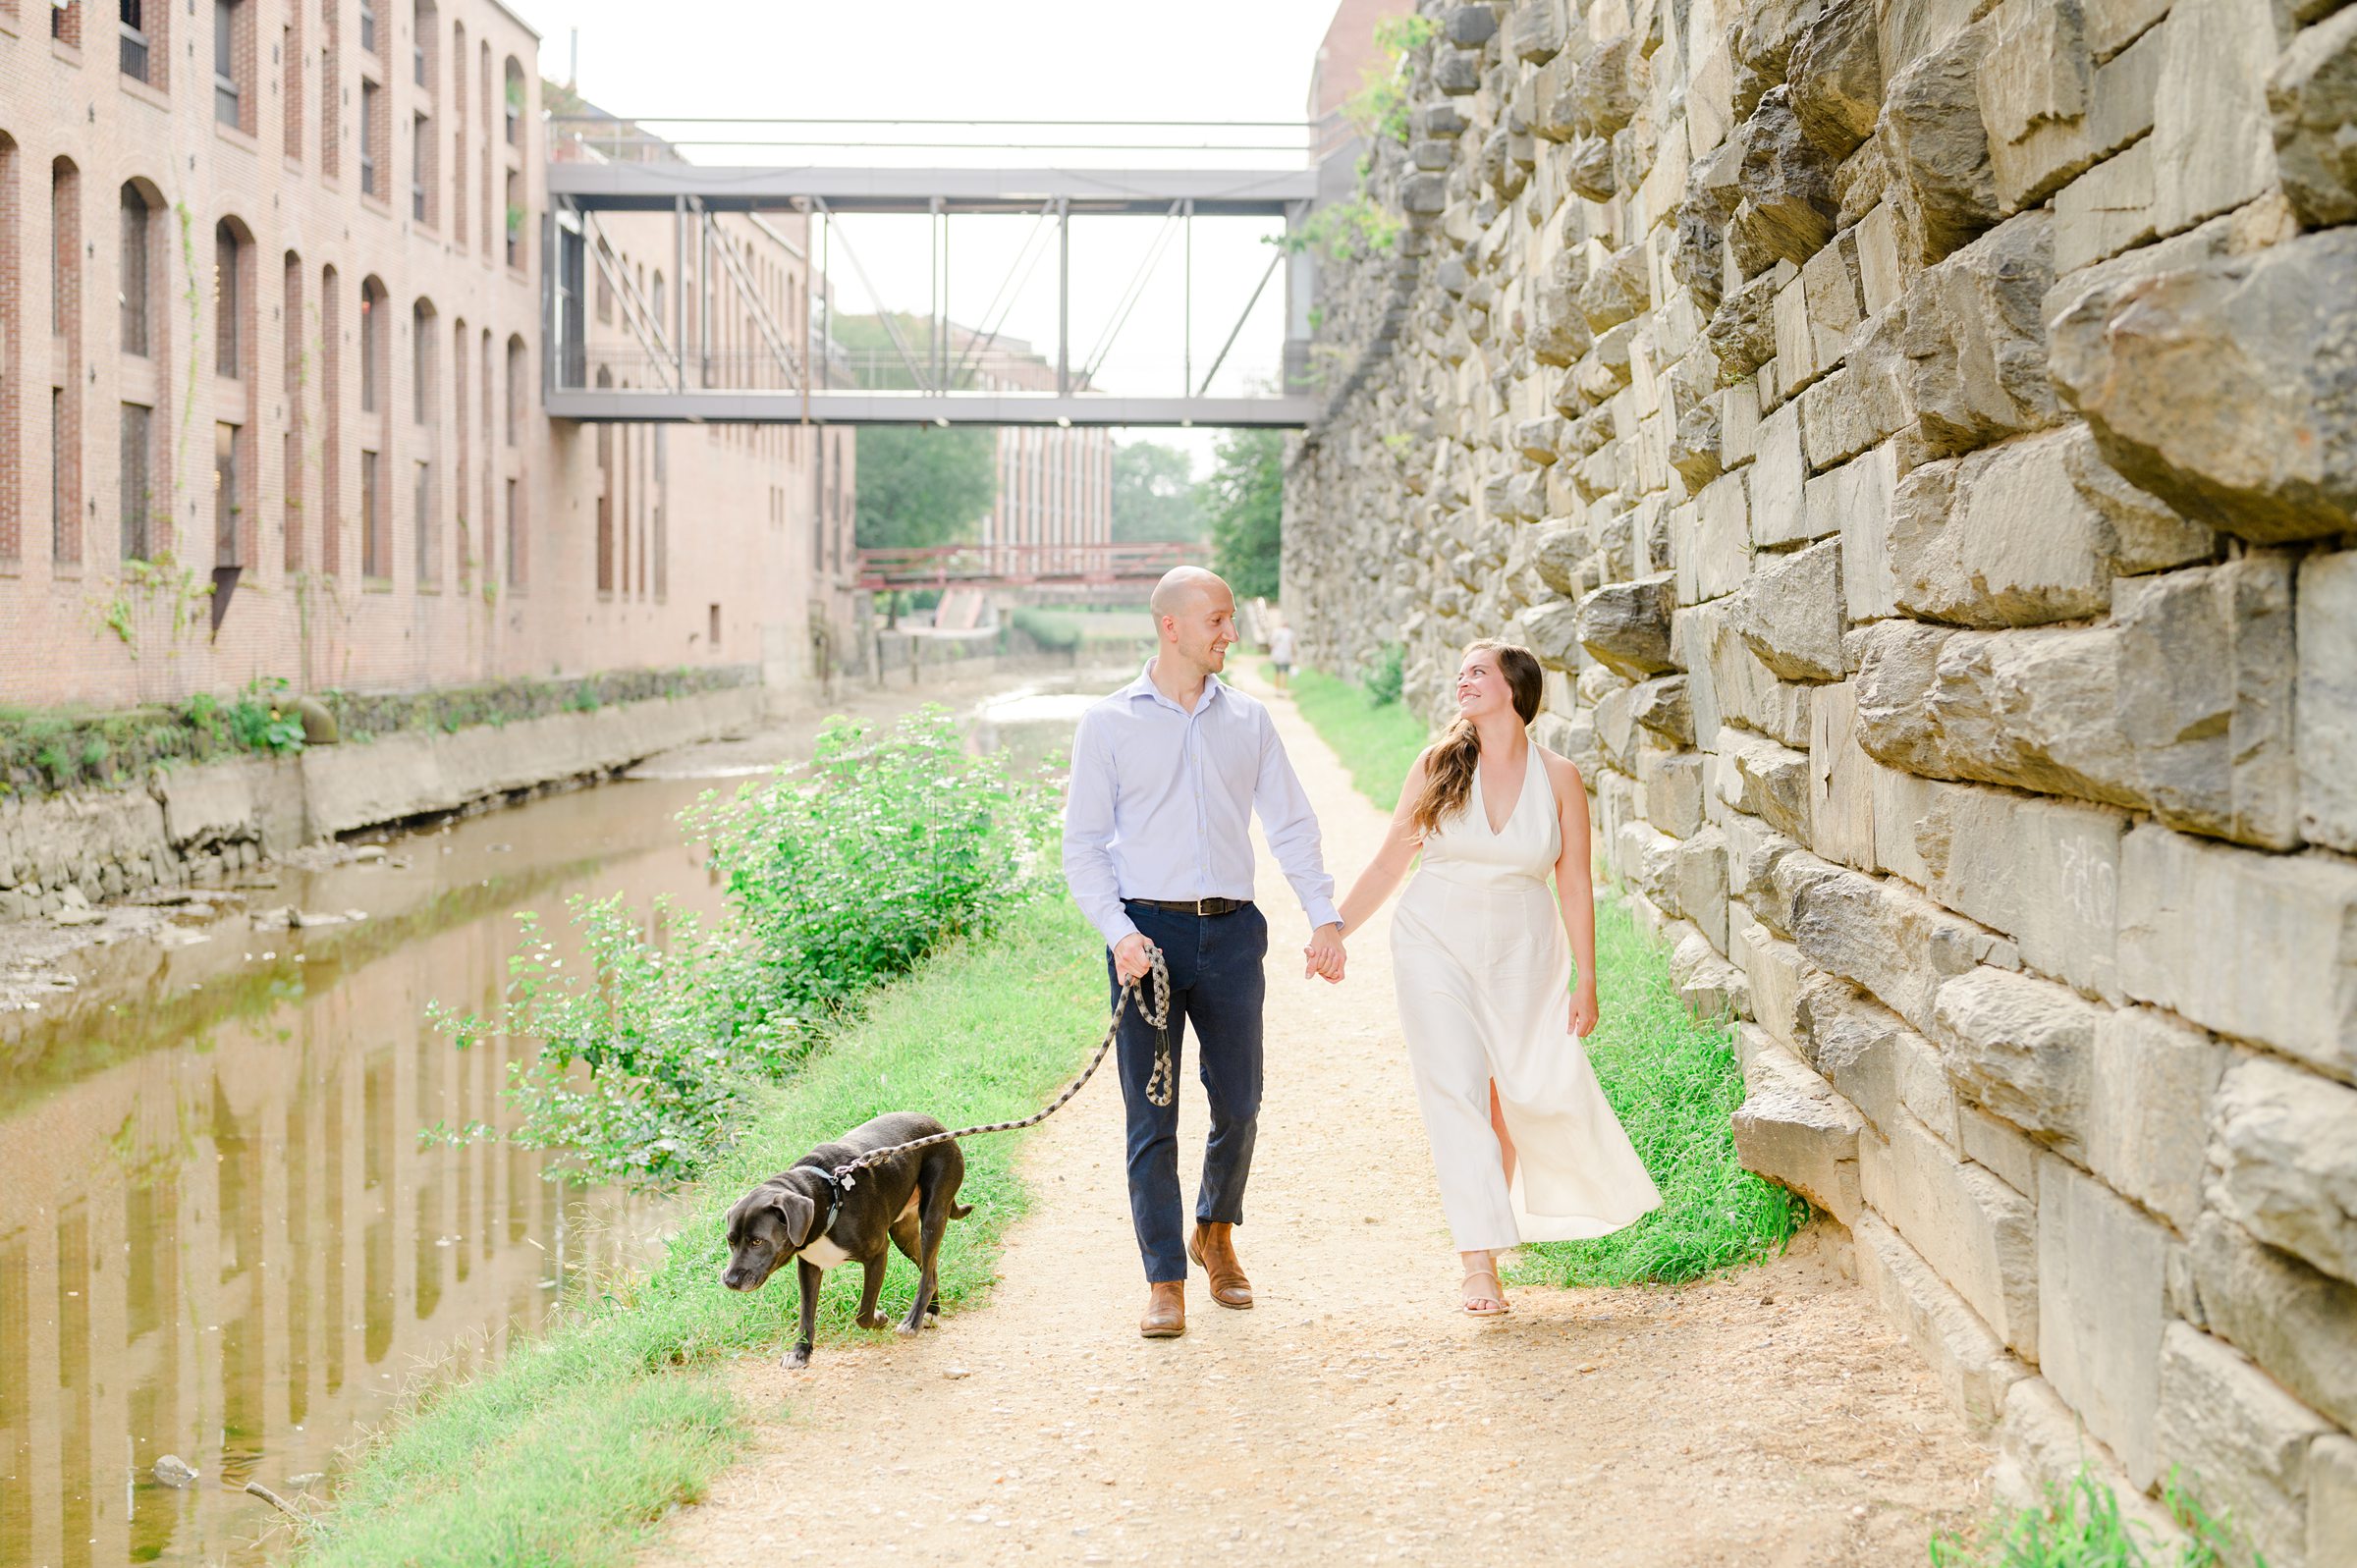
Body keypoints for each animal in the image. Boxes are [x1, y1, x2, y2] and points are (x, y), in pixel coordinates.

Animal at [716, 1108, 975, 1367]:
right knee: (929, 1268)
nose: (729, 1280)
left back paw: (912, 1322)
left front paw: (879, 1318)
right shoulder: (809, 1266)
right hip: (904, 1233)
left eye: (757, 1241)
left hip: (933, 1211)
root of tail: (938, 1126)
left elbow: (864, 1313)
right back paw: (931, 1312)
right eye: (731, 1241)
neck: (827, 1199)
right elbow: (806, 1313)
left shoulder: (877, 1254)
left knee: (927, 1274)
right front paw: (801, 1352)